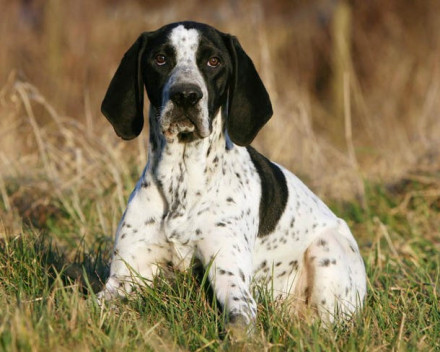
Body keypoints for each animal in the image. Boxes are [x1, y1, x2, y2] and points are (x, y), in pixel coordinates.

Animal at [98, 21, 366, 330]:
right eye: (161, 58)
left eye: (214, 61)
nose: (186, 95)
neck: (182, 183)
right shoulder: (123, 276)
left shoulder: (230, 279)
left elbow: (238, 323)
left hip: (327, 250)